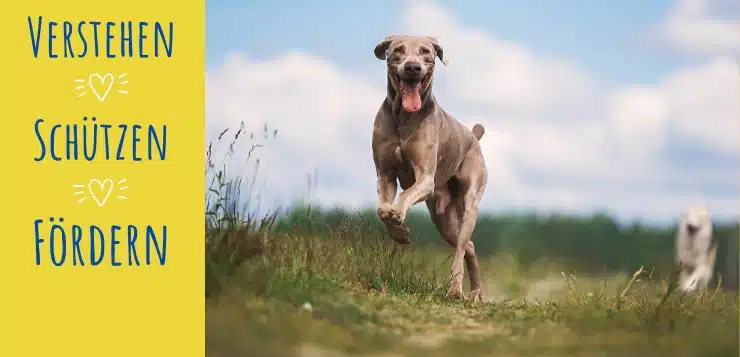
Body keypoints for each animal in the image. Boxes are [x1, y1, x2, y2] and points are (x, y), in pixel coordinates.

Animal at [372, 34, 488, 298]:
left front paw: (398, 215)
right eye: (398, 50)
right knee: (469, 245)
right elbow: (382, 209)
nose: (413, 67)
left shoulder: (425, 178)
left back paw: (456, 290)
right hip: (441, 218)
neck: (403, 116)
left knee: (461, 247)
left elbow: (405, 194)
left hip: (469, 202)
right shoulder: (384, 174)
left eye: (426, 52)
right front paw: (400, 232)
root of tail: (473, 137)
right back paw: (476, 291)